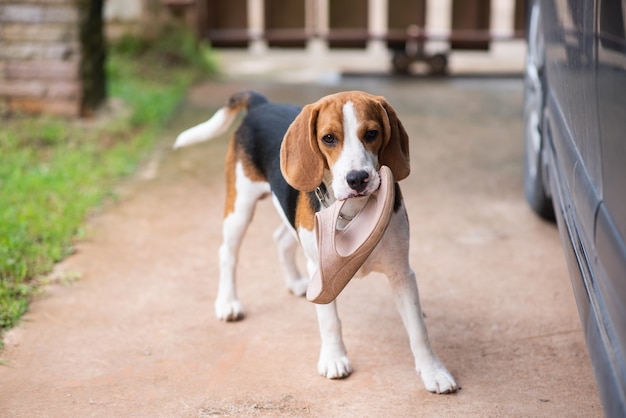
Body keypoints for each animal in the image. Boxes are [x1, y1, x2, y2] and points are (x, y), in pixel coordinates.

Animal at [173, 90, 456, 394]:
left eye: (372, 133)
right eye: (328, 138)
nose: (357, 179)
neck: (354, 211)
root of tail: (262, 104)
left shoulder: (401, 272)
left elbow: (418, 330)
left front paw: (433, 371)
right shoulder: (321, 271)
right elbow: (329, 321)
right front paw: (334, 358)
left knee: (281, 239)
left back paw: (295, 282)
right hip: (240, 207)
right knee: (227, 253)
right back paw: (227, 302)